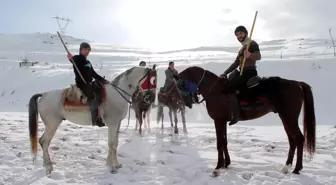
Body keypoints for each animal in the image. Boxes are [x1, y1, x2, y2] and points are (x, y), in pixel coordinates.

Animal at [28, 66, 156, 174]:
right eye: (152, 80)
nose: (150, 98)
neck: (118, 94)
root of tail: (44, 95)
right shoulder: (112, 125)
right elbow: (111, 144)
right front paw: (111, 167)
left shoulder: (117, 125)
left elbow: (115, 144)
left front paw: (116, 164)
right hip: (52, 125)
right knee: (43, 141)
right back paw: (49, 167)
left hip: (52, 126)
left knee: (45, 143)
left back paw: (46, 164)